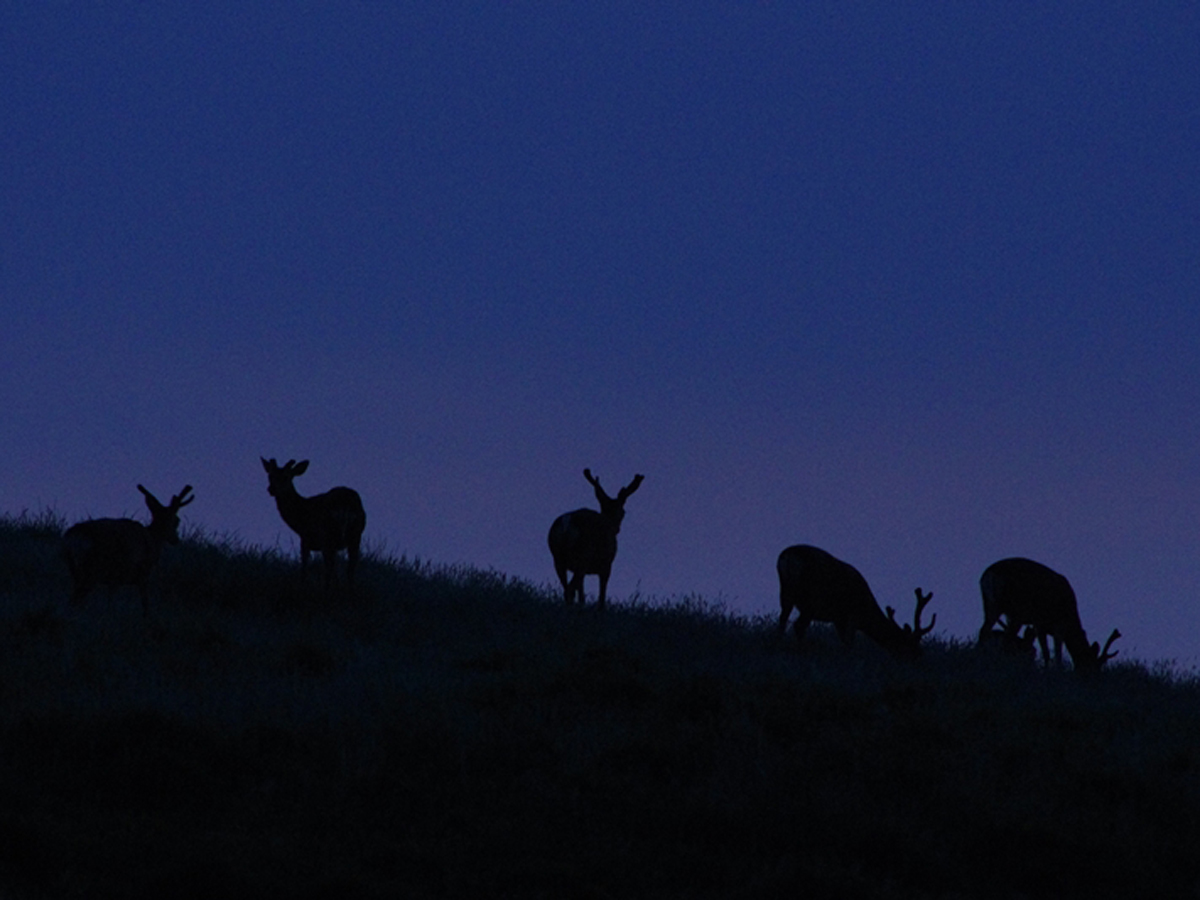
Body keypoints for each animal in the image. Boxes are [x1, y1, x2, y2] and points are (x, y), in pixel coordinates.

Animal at [61, 487, 194, 614]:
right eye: (177, 521)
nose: (175, 539)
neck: (153, 540)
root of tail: (74, 537)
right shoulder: (141, 573)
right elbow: (144, 603)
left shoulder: (115, 578)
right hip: (93, 569)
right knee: (76, 598)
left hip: (75, 568)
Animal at [264, 458, 367, 592]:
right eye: (270, 475)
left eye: (286, 477)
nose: (271, 489)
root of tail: (345, 504)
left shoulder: (305, 537)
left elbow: (304, 564)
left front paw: (302, 584)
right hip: (355, 534)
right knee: (351, 566)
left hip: (327, 534)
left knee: (329, 566)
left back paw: (326, 588)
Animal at [549, 468, 648, 609]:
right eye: (623, 512)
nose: (617, 529)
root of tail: (567, 523)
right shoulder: (607, 564)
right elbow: (602, 595)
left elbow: (582, 594)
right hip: (583, 556)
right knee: (570, 589)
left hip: (558, 558)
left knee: (567, 587)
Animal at [777, 542, 936, 662]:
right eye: (910, 644)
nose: (921, 655)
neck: (866, 613)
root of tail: (787, 557)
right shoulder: (853, 615)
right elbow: (849, 642)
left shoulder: (839, 620)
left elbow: (844, 640)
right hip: (811, 600)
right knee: (799, 625)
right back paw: (800, 649)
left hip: (786, 594)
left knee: (783, 619)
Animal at [979, 561, 1118, 672]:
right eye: (1094, 663)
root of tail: (988, 575)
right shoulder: (1057, 625)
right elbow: (1056, 652)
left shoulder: (1040, 626)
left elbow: (1046, 651)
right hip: (1012, 608)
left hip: (991, 606)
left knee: (986, 631)